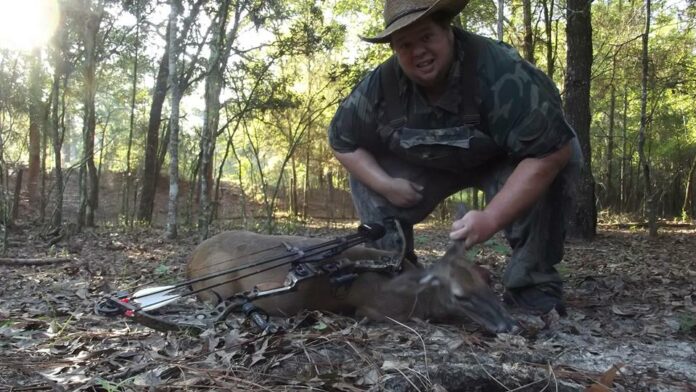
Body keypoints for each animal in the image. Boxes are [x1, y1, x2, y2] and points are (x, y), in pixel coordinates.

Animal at [185, 230, 516, 334]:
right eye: (460, 295)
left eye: (488, 281)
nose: (509, 324)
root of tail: (191, 260)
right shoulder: (373, 309)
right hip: (217, 288)